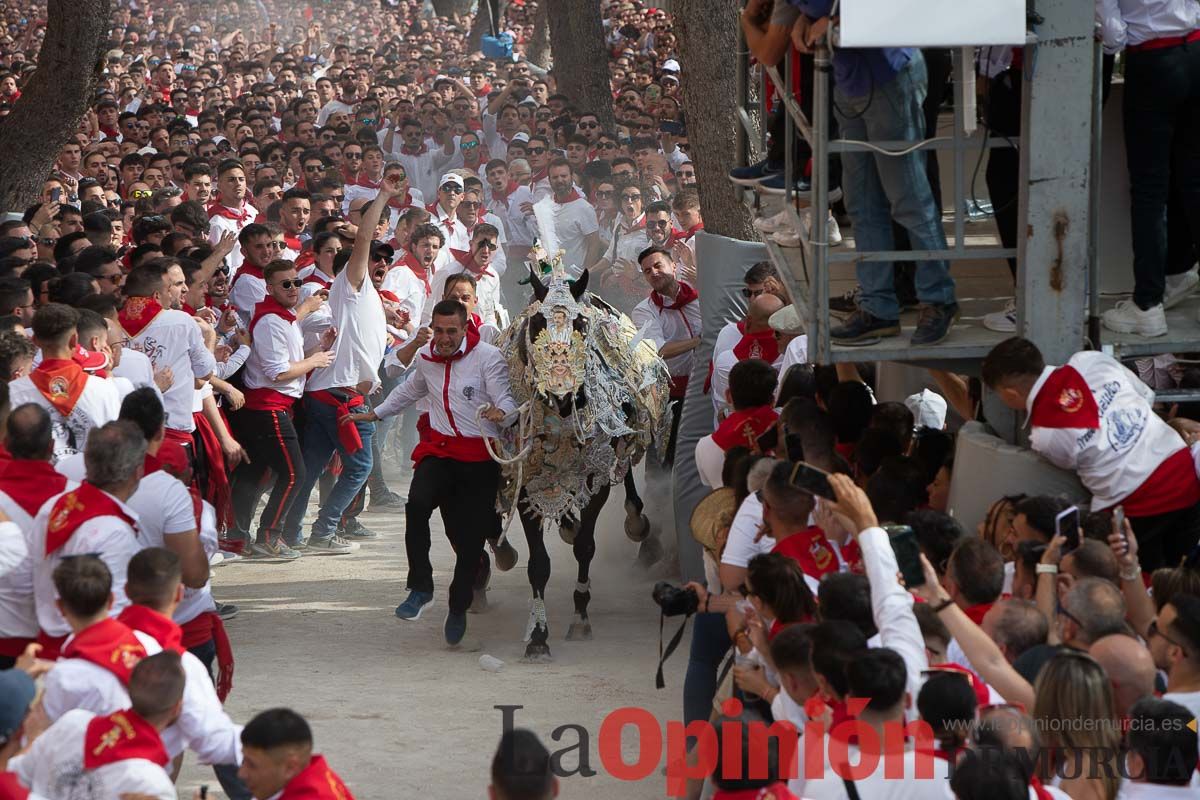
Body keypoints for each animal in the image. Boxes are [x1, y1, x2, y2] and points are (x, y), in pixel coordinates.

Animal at [489, 266, 676, 662]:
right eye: (537, 324)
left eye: (581, 326)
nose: (561, 393)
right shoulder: (528, 482)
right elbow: (538, 564)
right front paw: (538, 636)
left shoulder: (597, 474)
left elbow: (586, 547)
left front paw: (580, 618)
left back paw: (635, 520)